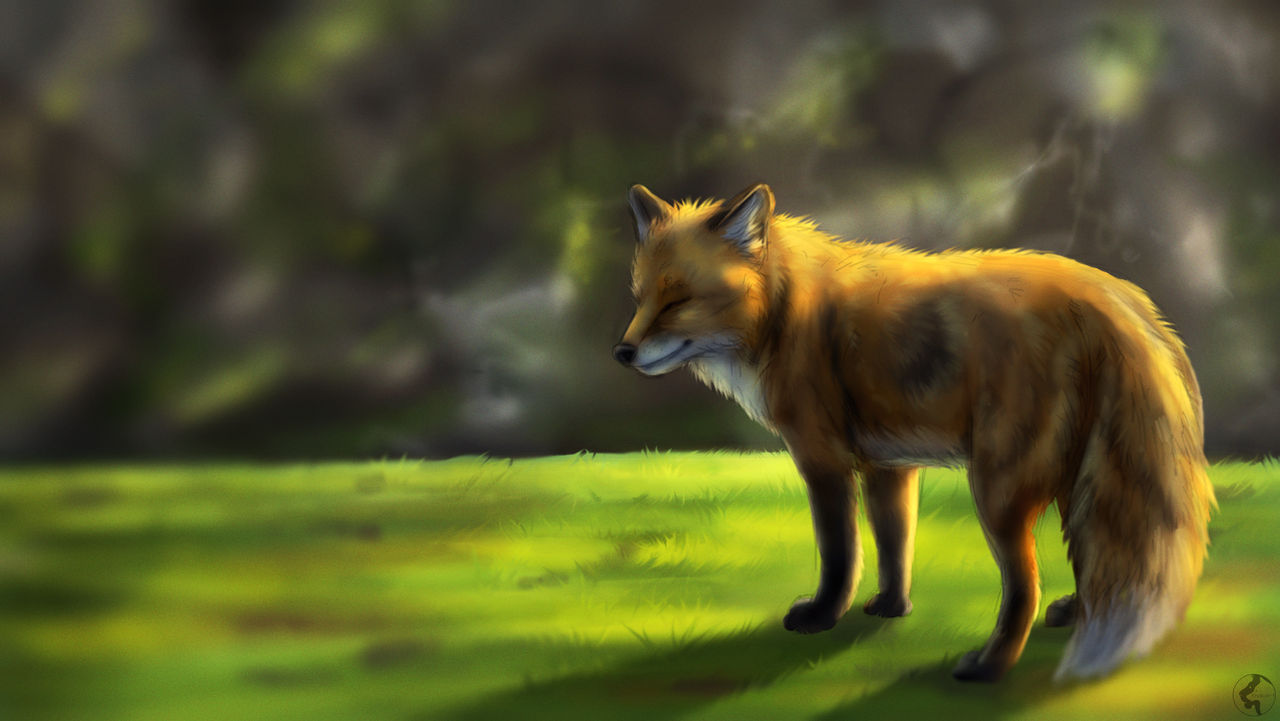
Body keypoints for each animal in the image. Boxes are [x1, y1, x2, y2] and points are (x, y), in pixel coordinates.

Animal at [612, 182, 1215, 682]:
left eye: (678, 300)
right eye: (640, 298)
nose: (622, 352)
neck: (785, 308)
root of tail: (1119, 297)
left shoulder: (823, 459)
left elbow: (840, 554)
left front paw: (822, 616)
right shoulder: (890, 465)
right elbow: (894, 544)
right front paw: (891, 608)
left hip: (998, 488)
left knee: (1023, 588)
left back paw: (988, 667)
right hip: (1076, 479)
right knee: (1087, 557)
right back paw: (1074, 612)